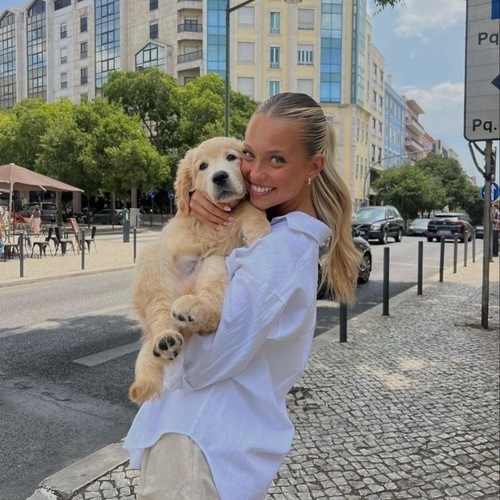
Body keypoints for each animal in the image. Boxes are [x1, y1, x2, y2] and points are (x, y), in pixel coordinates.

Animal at [129, 137, 271, 405]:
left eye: (232, 157)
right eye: (202, 166)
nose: (220, 177)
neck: (222, 210)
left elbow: (247, 206)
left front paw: (259, 227)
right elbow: (244, 206)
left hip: (213, 263)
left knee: (211, 316)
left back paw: (192, 310)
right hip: (153, 259)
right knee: (159, 311)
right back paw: (166, 338)